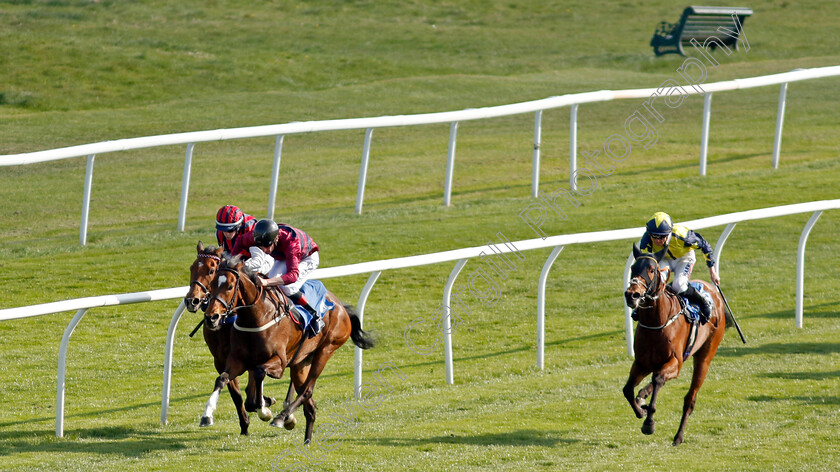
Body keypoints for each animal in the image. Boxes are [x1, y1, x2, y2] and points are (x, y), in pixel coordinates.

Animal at [184, 243, 278, 436]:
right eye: (192, 268)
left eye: (211, 270)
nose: (192, 301)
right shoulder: (222, 361)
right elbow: (235, 393)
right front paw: (244, 425)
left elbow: (250, 393)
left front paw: (263, 402)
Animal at [200, 253, 374, 440]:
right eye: (212, 284)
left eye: (230, 286)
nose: (211, 317)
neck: (256, 317)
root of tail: (341, 306)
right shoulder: (238, 360)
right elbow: (222, 379)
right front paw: (207, 415)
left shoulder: (280, 363)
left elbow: (259, 374)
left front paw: (264, 410)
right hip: (301, 363)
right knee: (309, 404)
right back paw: (306, 439)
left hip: (326, 350)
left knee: (307, 391)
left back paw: (281, 418)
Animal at [620, 243, 724, 446]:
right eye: (633, 268)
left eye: (652, 270)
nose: (632, 295)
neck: (656, 322)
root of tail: (713, 292)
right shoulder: (641, 362)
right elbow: (627, 389)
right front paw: (641, 410)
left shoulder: (675, 363)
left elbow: (659, 379)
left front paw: (649, 422)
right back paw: (643, 395)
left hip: (705, 356)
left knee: (690, 399)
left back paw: (678, 436)